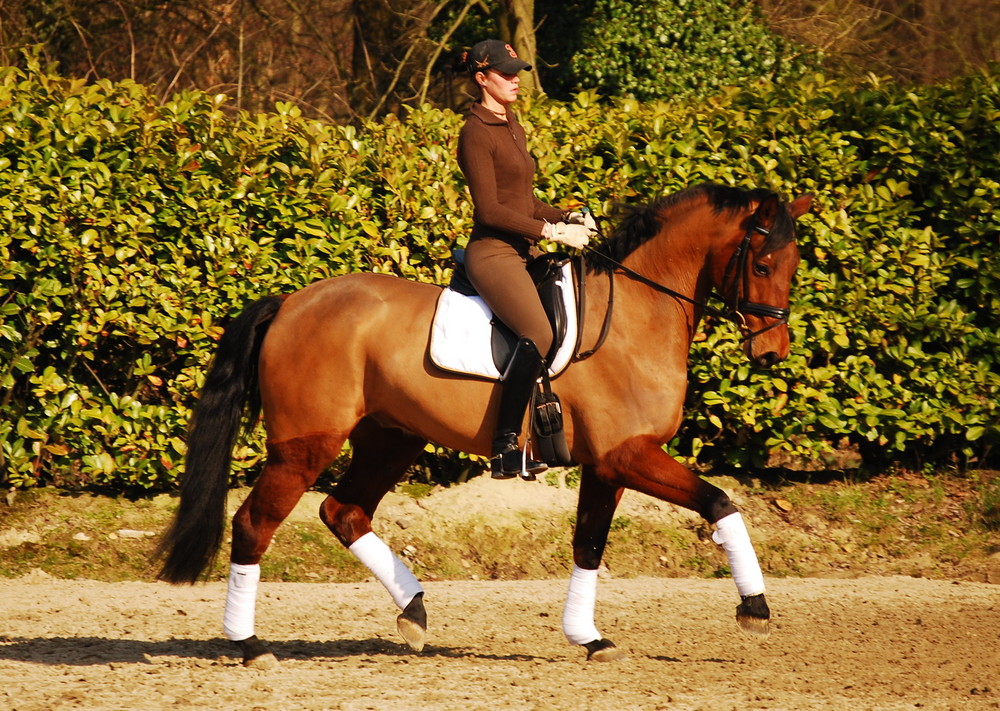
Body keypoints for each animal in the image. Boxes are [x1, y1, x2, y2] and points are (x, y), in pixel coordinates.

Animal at [156, 182, 812, 668]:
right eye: (762, 262)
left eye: (794, 263)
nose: (772, 352)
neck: (633, 315)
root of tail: (292, 301)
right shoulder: (630, 455)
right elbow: (721, 502)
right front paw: (755, 609)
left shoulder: (608, 464)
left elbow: (589, 544)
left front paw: (588, 637)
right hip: (305, 446)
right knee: (254, 523)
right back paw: (250, 645)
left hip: (391, 439)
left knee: (343, 512)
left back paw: (414, 613)